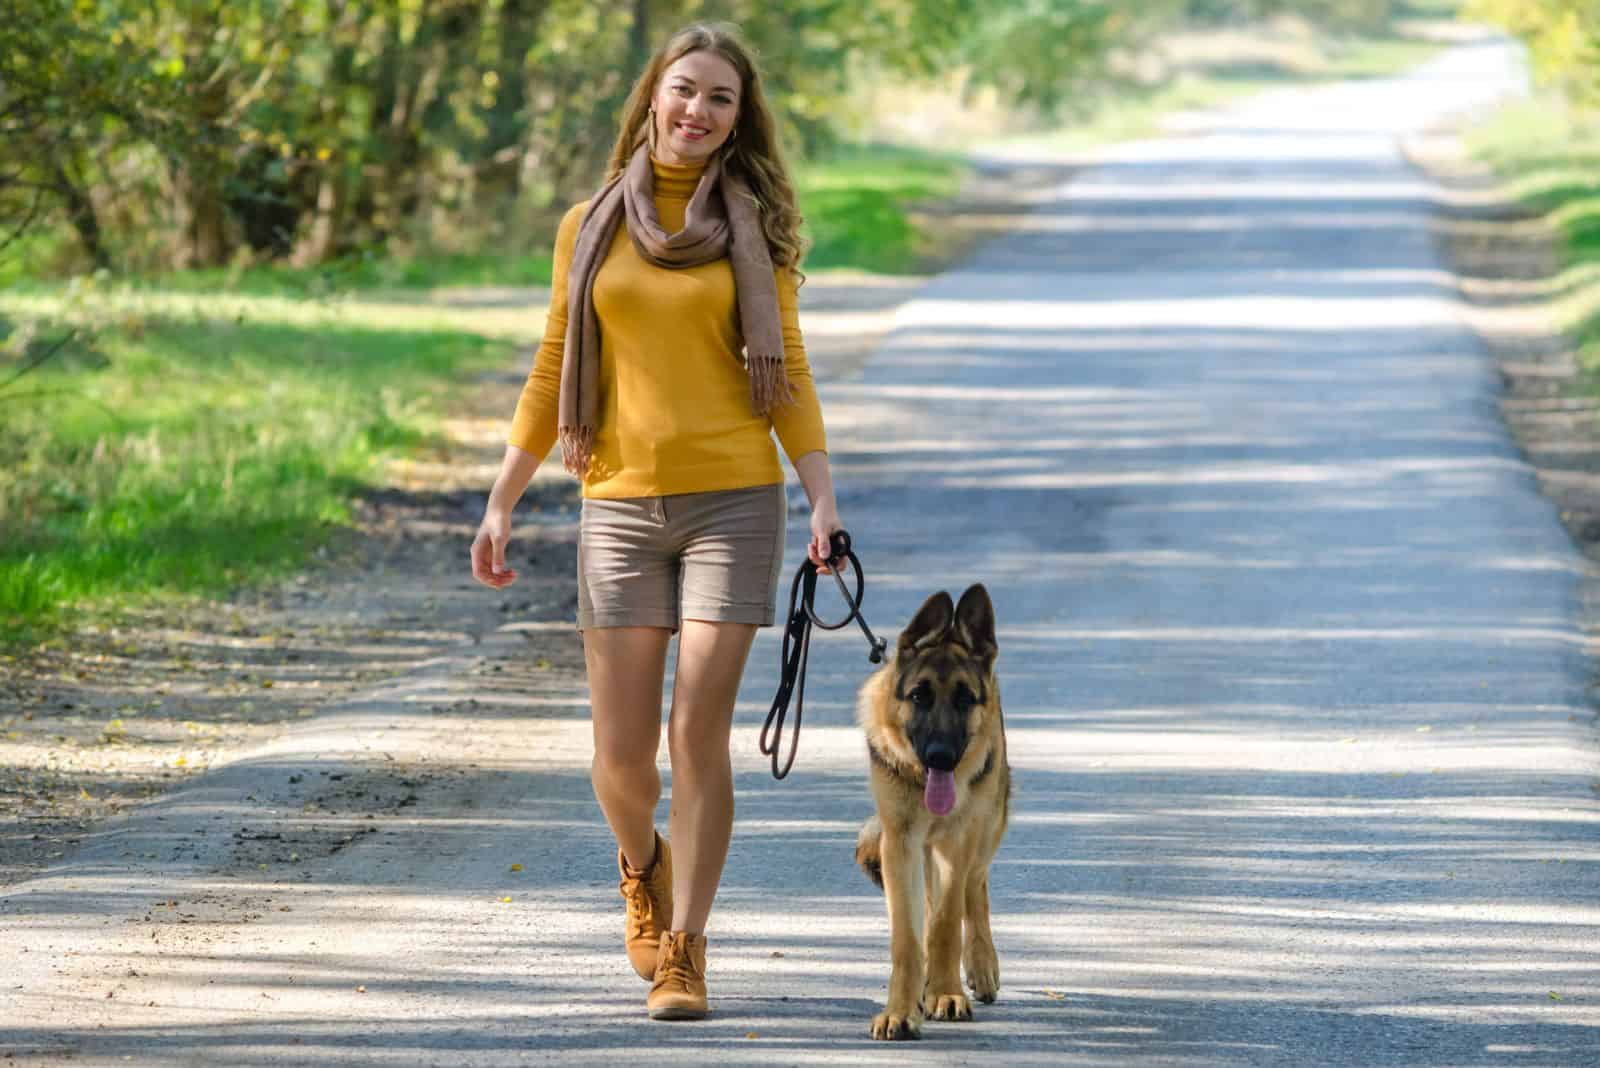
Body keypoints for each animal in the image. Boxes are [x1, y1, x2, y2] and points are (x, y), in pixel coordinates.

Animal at [857, 585, 1004, 1042]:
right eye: (919, 695)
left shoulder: (958, 841)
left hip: (985, 829)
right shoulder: (900, 844)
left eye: (964, 698)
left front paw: (946, 993)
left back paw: (980, 966)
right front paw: (901, 1011)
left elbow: (945, 923)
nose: (940, 757)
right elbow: (908, 937)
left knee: (976, 889)